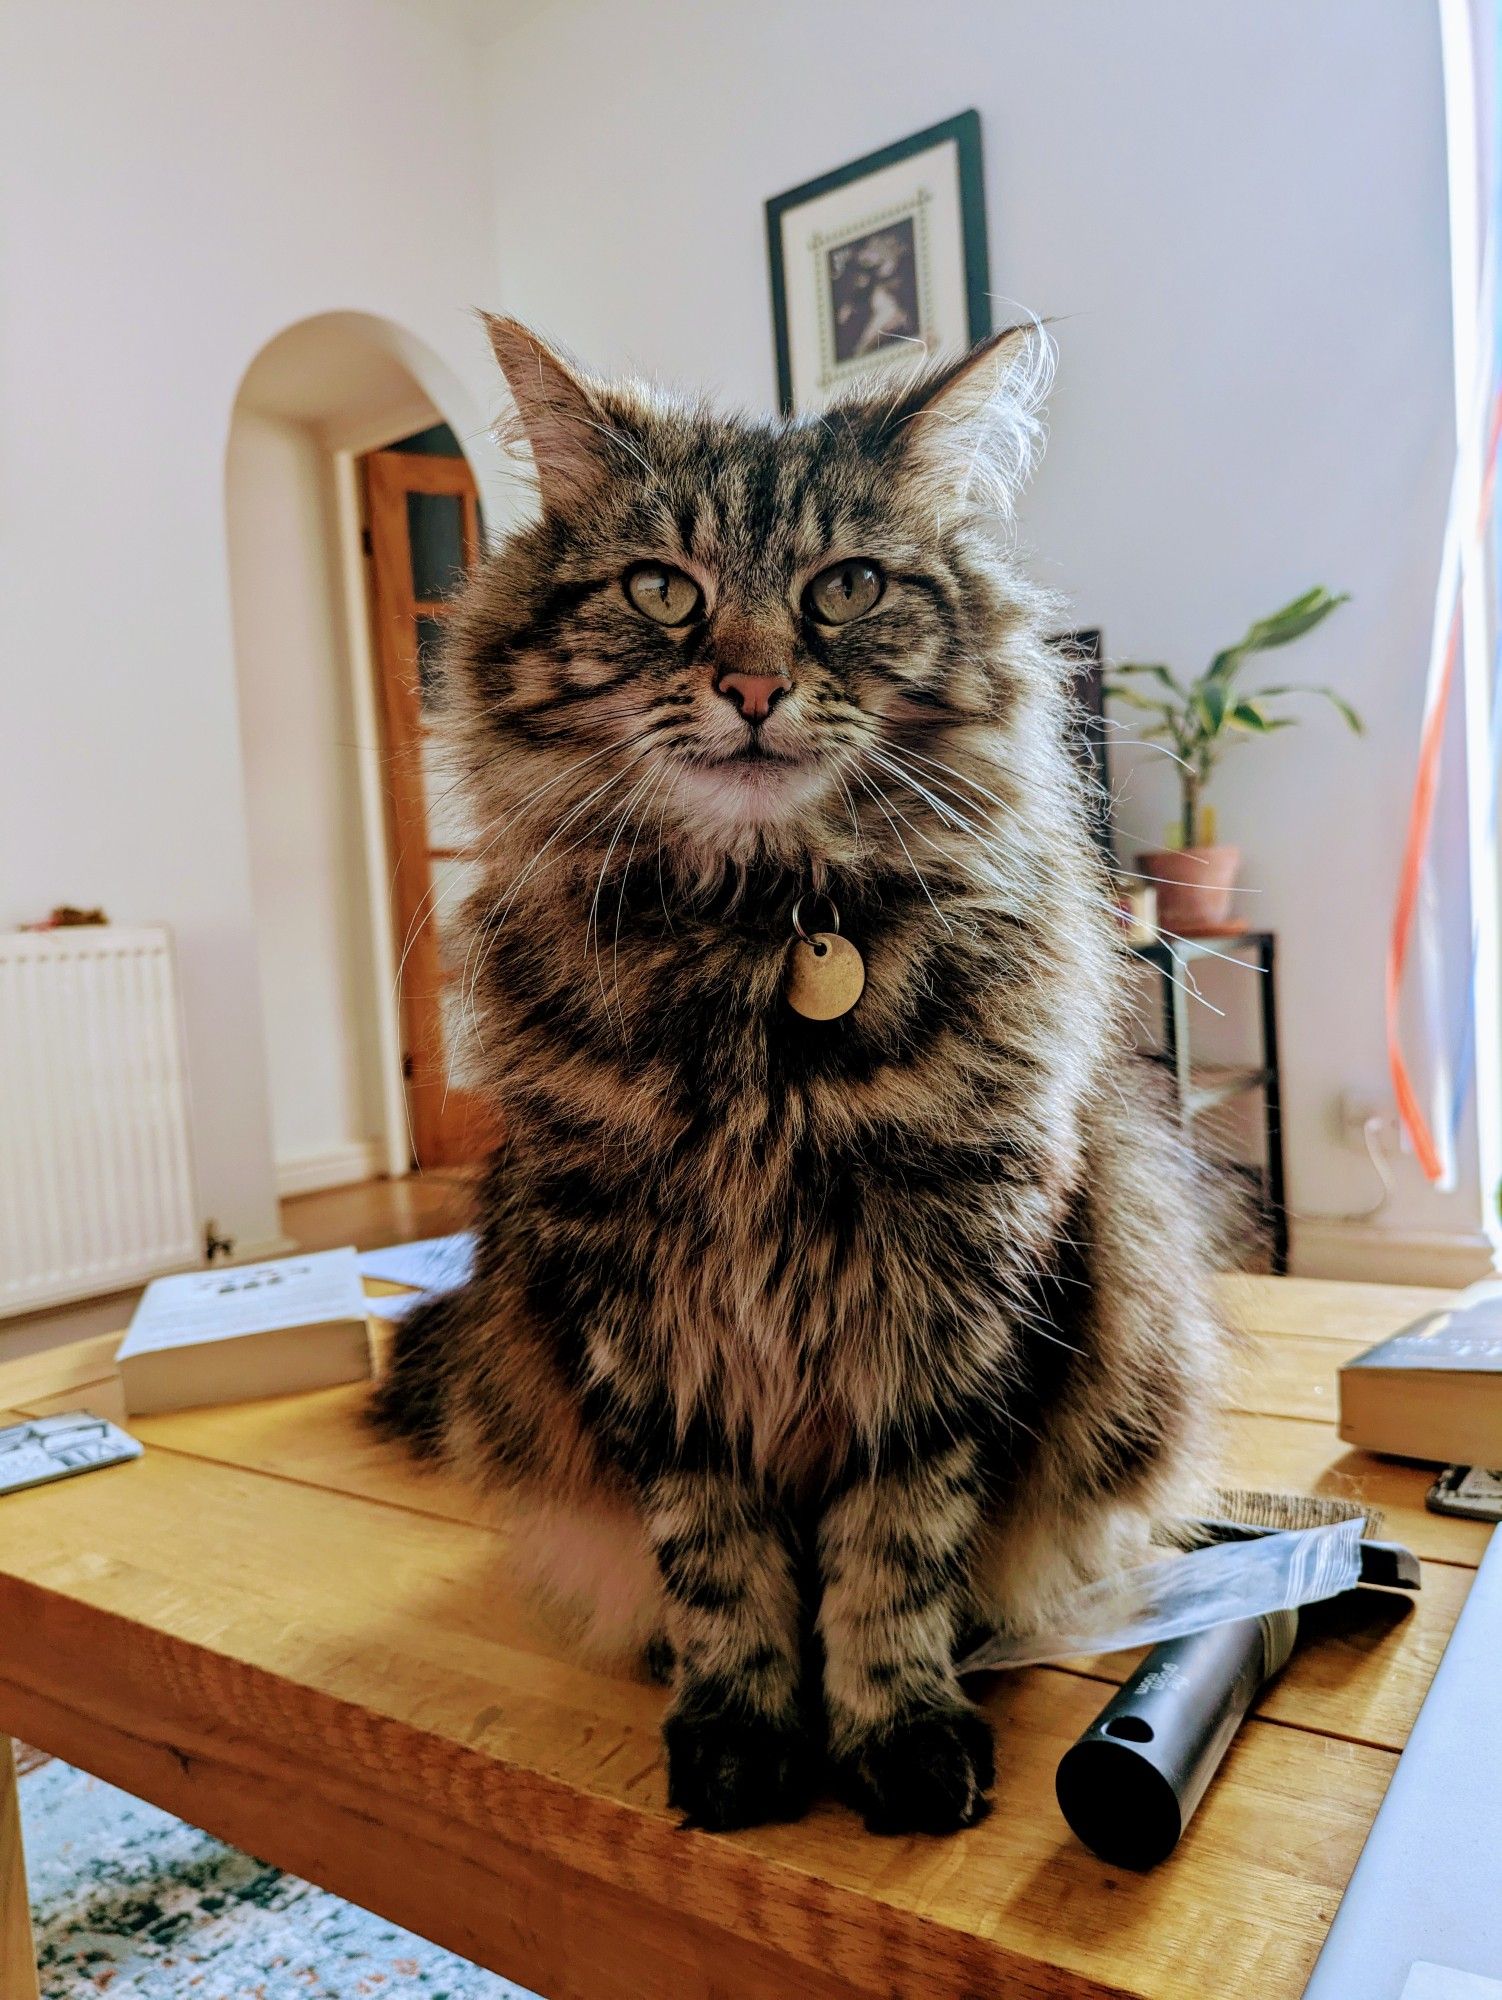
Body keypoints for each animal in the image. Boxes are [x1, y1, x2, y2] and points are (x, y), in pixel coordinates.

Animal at [376, 316, 1232, 1840]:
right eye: (663, 589)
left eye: (845, 588)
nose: (755, 685)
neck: (763, 946)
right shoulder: (642, 1318)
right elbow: (716, 1564)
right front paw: (738, 1733)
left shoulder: (950, 1291)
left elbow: (894, 1555)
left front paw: (897, 1733)